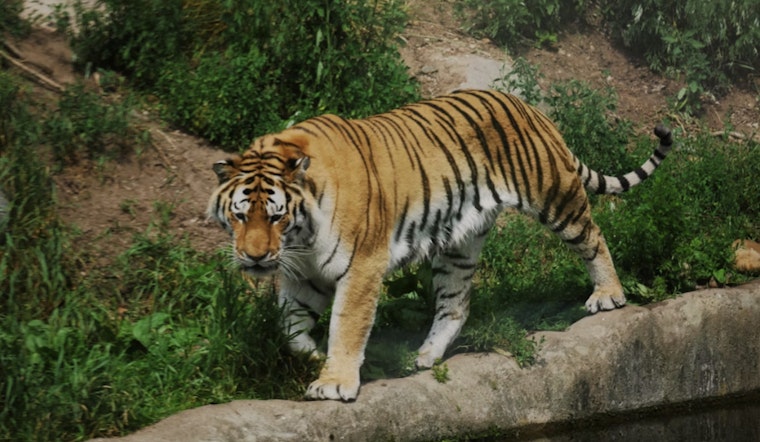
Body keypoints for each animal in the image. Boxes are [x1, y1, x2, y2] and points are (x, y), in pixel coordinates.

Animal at [208, 89, 674, 402]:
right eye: (240, 215)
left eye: (275, 215)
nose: (254, 258)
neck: (300, 240)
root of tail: (526, 105)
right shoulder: (304, 274)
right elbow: (288, 326)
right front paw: (312, 357)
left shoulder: (361, 267)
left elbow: (347, 325)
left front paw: (335, 382)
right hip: (457, 246)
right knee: (456, 304)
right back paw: (425, 356)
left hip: (555, 196)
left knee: (593, 237)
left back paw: (608, 296)